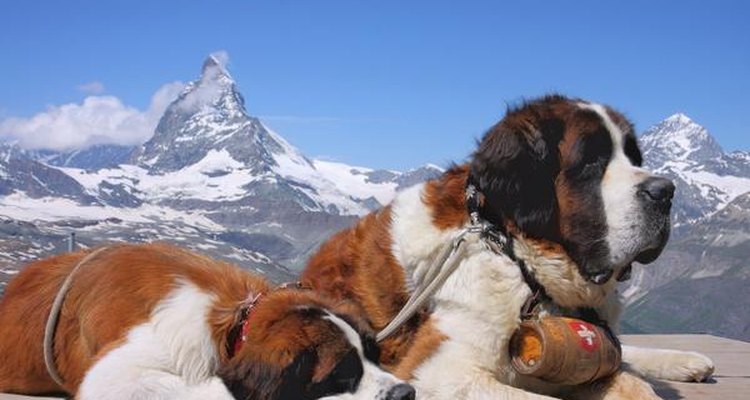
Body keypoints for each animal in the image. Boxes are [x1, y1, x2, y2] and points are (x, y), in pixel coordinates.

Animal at [302, 95, 716, 398]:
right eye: (592, 162)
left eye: (634, 157)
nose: (665, 192)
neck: (513, 252)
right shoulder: (438, 369)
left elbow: (628, 379)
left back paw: (686, 361)